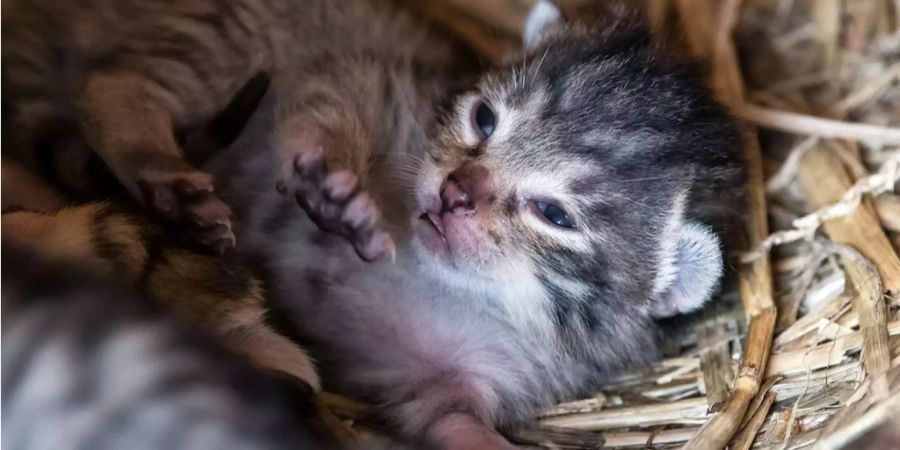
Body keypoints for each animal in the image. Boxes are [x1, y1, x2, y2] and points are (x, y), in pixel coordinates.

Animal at [209, 1, 744, 448]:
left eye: (554, 215)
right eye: (484, 119)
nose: (454, 192)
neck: (453, 286)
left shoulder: (460, 381)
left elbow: (450, 422)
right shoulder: (386, 88)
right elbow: (334, 88)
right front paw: (333, 185)